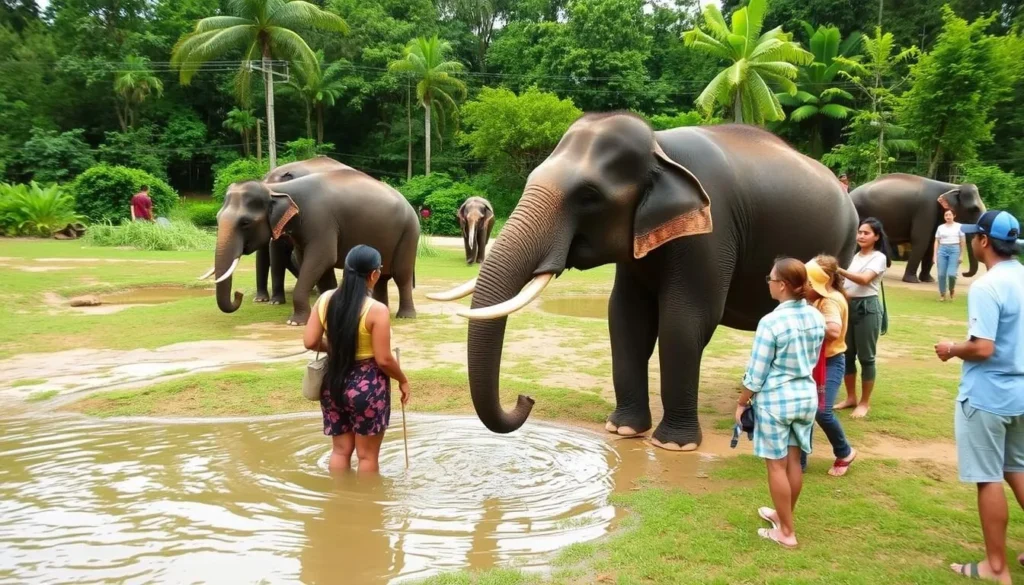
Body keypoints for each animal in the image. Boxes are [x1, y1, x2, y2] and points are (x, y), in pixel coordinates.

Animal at [208, 167, 419, 325]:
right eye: (216, 218)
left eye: (245, 223)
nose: (238, 294)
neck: (278, 188)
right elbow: (314, 264)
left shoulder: (320, 219)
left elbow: (322, 257)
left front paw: (295, 322)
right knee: (382, 277)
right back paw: (381, 309)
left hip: (409, 233)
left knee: (401, 275)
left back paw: (405, 316)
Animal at [428, 113, 858, 451]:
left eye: (589, 195)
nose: (526, 396)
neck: (660, 148)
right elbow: (625, 316)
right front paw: (622, 429)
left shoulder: (713, 227)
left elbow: (685, 319)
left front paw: (673, 445)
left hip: (844, 244)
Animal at [848, 173, 985, 283]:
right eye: (974, 209)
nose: (963, 273)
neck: (952, 186)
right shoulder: (926, 209)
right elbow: (921, 241)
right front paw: (913, 281)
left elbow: (931, 242)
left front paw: (928, 280)